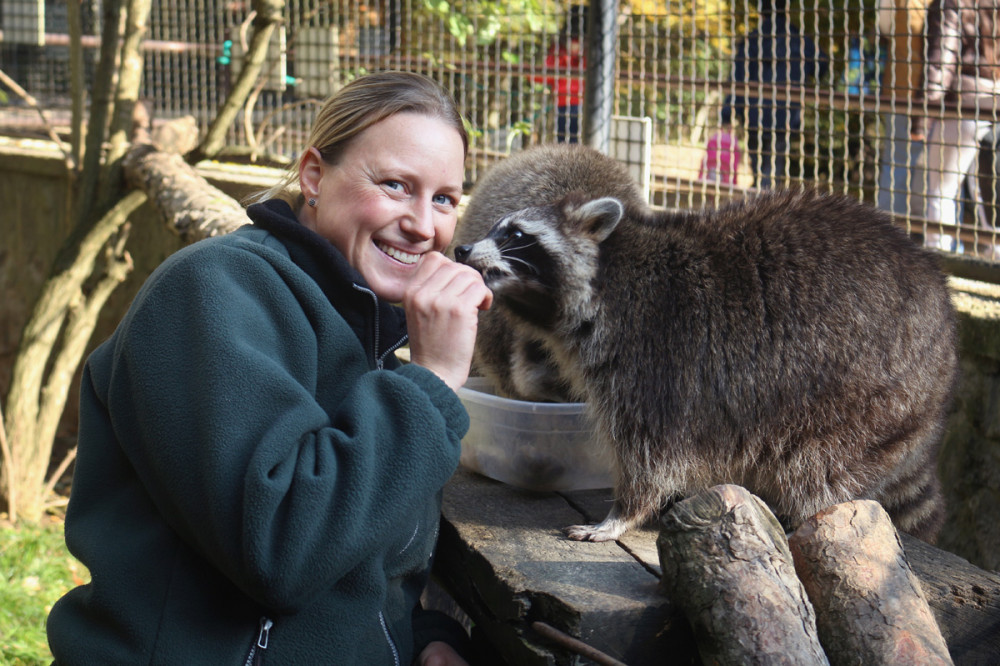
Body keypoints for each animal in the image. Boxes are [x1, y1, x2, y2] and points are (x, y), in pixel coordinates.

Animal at [452, 149, 952, 540]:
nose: (460, 250)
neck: (607, 277)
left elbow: (652, 454)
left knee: (819, 465)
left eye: (516, 235)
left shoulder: (655, 351)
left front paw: (623, 514)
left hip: (863, 392)